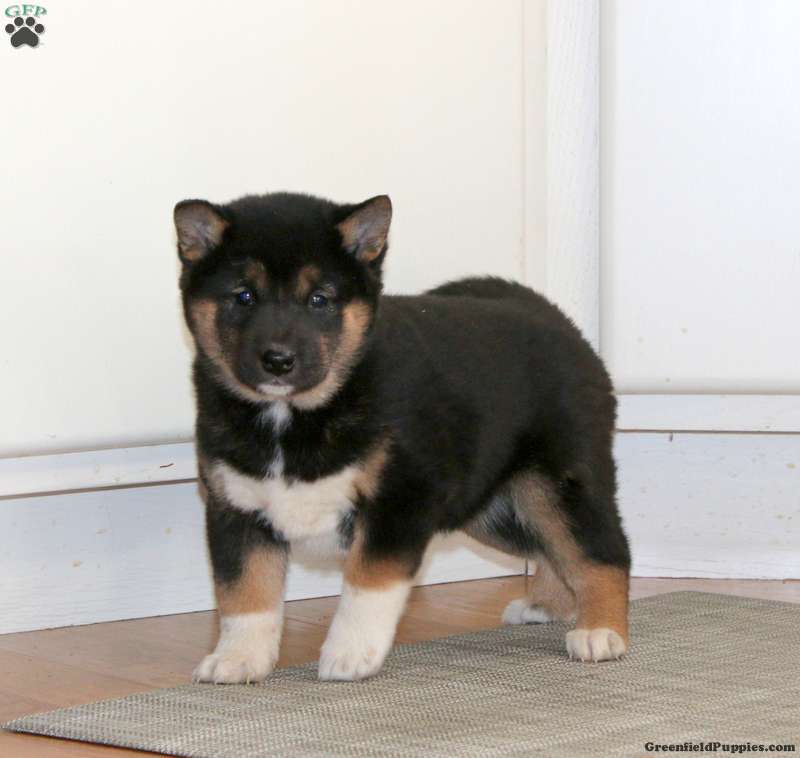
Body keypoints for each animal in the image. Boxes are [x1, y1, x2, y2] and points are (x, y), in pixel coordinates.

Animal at [173, 191, 631, 683]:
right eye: (243, 296)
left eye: (319, 299)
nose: (278, 360)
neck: (295, 415)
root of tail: (559, 322)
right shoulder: (236, 507)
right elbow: (244, 595)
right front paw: (238, 659)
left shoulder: (399, 499)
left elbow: (367, 584)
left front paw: (350, 654)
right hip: (494, 508)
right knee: (552, 550)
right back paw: (546, 604)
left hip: (558, 484)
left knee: (601, 552)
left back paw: (601, 632)